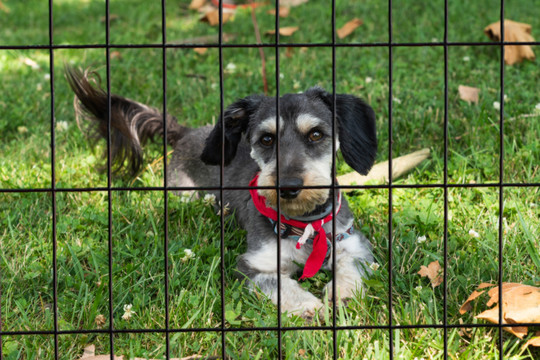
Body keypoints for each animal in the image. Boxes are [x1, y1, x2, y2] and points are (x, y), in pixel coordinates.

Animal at [67, 67, 378, 318]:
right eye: (266, 139)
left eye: (315, 134)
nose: (289, 186)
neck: (304, 226)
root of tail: (187, 133)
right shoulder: (253, 265)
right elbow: (279, 284)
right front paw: (307, 305)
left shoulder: (354, 243)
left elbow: (350, 267)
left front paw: (344, 295)